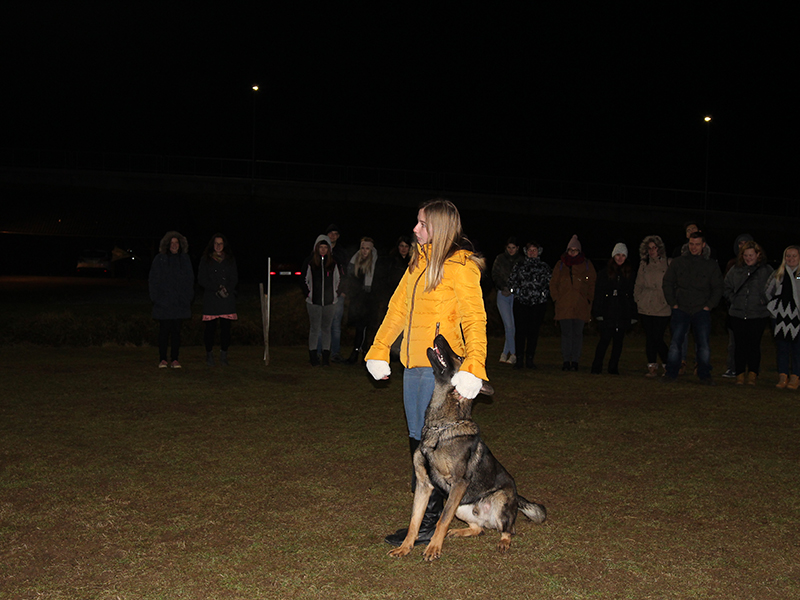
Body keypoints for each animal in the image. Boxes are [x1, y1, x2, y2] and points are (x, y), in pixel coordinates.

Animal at [388, 334, 547, 561]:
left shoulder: (458, 483)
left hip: (499, 500)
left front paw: (433, 548)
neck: (440, 428)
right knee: (478, 529)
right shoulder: (424, 484)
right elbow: (415, 521)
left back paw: (504, 541)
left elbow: (442, 519)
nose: (439, 335)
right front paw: (405, 547)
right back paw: (460, 531)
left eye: (460, 357)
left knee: (509, 529)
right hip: (462, 507)